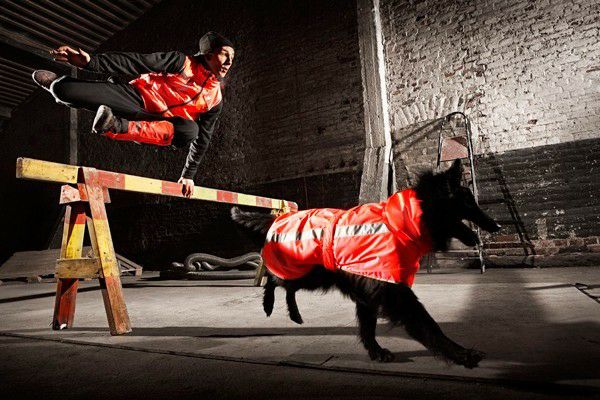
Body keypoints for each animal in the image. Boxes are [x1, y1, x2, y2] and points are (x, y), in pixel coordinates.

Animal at [231, 160, 501, 368]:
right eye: (468, 203)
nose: (498, 226)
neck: (405, 220)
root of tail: (280, 218)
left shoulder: (369, 291)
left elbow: (368, 327)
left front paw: (375, 351)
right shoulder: (392, 290)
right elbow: (428, 324)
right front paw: (460, 354)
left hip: (311, 276)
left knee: (286, 287)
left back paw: (294, 315)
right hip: (304, 272)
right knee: (273, 279)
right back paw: (268, 304)